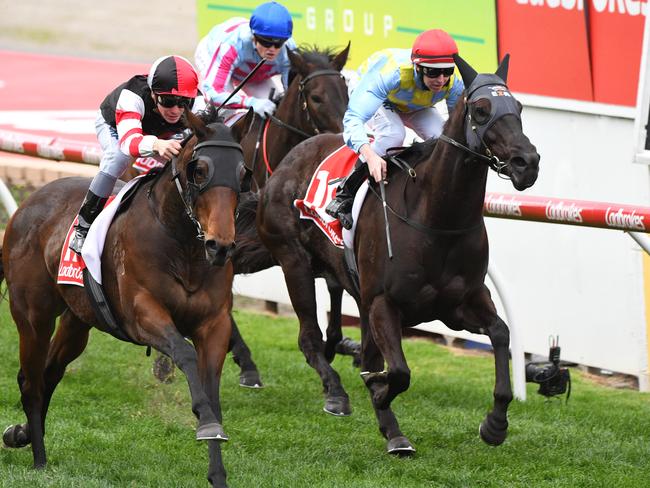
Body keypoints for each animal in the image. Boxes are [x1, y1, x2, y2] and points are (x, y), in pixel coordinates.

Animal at [0, 108, 249, 486]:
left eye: (242, 172)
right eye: (200, 170)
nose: (220, 246)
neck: (185, 249)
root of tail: (28, 203)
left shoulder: (214, 324)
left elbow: (211, 387)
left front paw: (217, 470)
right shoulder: (142, 313)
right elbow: (185, 354)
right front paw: (206, 424)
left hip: (77, 321)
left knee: (49, 372)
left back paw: (22, 433)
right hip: (33, 315)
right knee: (31, 381)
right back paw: (39, 460)